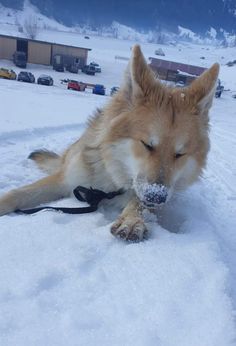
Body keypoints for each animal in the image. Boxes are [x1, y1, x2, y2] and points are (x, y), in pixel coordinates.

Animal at [0, 45, 219, 241]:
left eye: (179, 154)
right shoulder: (65, 180)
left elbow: (137, 202)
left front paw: (132, 220)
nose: (156, 197)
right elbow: (18, 194)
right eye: (147, 145)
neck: (110, 181)